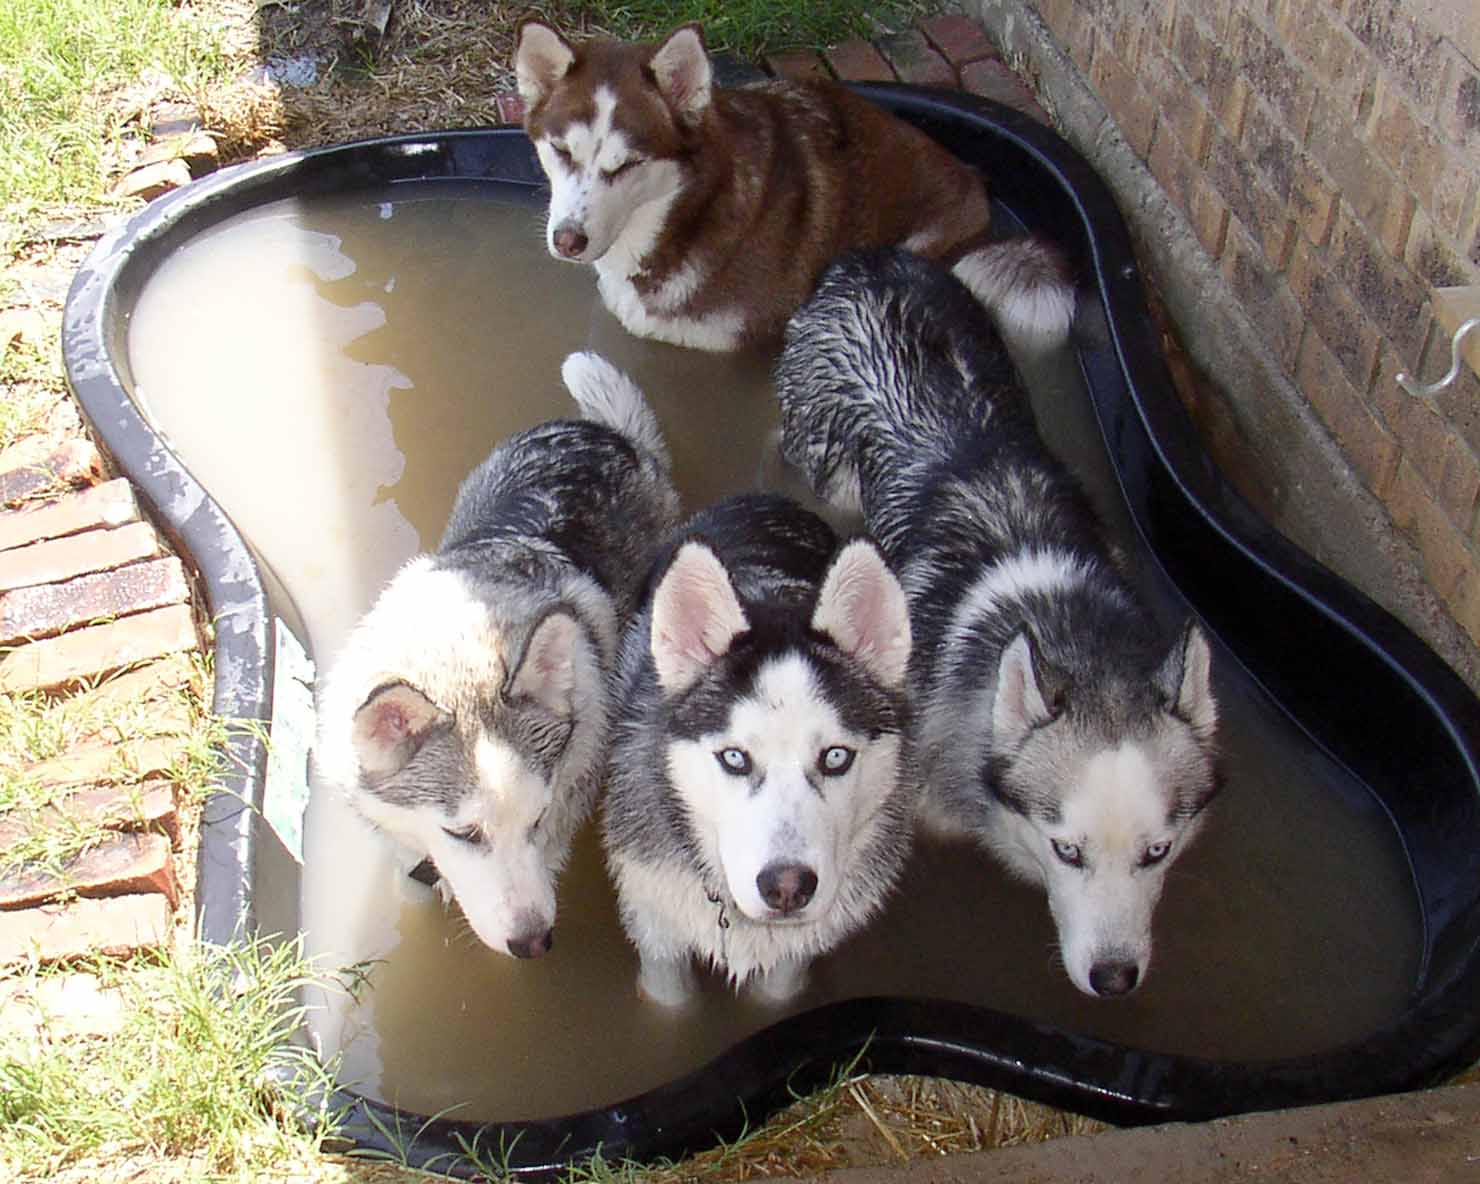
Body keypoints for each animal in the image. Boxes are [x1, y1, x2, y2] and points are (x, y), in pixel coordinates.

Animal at [600, 494, 911, 1006]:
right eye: (734, 757)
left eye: (836, 757)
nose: (787, 888)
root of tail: (763, 498)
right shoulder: (657, 927)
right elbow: (670, 997)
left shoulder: (797, 950)